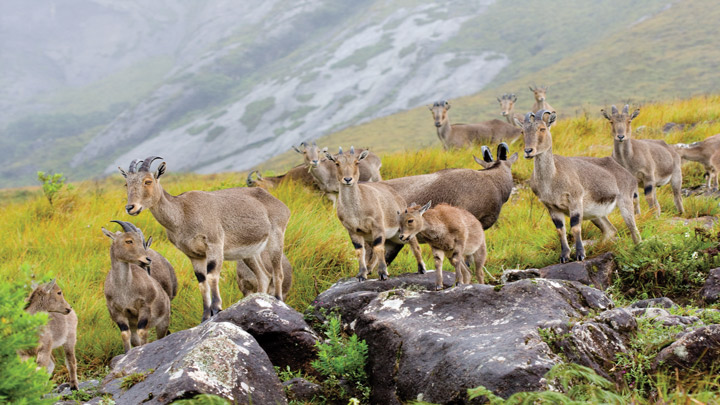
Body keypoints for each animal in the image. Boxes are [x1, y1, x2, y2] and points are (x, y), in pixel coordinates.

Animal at [102, 221, 175, 350]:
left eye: (141, 242)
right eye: (128, 241)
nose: (147, 259)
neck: (124, 290)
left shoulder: (145, 306)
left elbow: (142, 332)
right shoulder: (116, 311)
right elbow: (125, 334)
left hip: (163, 321)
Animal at [119, 156, 290, 320]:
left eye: (147, 181)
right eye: (127, 184)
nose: (130, 207)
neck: (182, 214)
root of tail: (282, 205)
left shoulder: (214, 244)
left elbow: (212, 276)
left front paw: (217, 308)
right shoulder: (194, 255)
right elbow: (202, 282)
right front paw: (205, 315)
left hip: (276, 237)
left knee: (277, 273)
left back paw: (278, 300)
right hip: (250, 253)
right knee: (264, 275)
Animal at [324, 146, 420, 280]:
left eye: (357, 162)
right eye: (337, 163)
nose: (348, 179)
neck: (356, 210)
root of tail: (397, 196)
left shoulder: (377, 225)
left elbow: (379, 247)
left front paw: (383, 273)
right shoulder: (352, 230)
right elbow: (360, 250)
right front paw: (361, 274)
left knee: (414, 244)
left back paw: (422, 268)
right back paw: (369, 269)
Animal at [516, 110, 640, 262]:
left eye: (542, 128)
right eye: (522, 131)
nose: (528, 151)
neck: (552, 179)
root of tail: (630, 176)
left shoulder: (575, 199)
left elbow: (575, 227)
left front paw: (580, 254)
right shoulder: (551, 207)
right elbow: (560, 230)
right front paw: (564, 256)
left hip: (625, 201)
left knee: (633, 230)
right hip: (594, 213)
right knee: (610, 229)